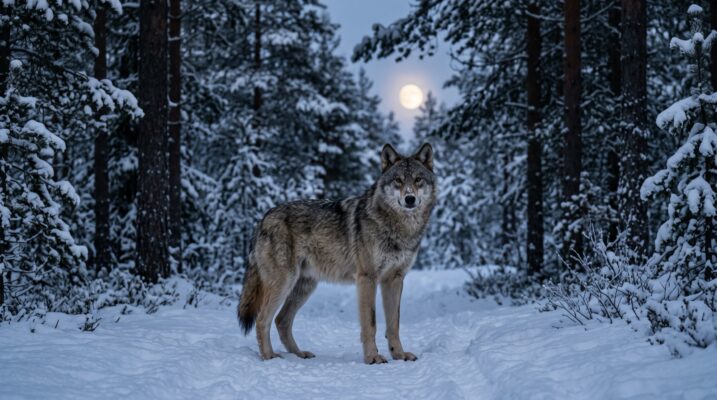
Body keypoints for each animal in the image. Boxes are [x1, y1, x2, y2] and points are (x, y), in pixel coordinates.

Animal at [237, 143, 437, 364]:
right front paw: (372, 357)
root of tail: (264, 217)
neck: (398, 228)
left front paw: (399, 355)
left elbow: (394, 323)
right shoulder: (367, 278)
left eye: (418, 179)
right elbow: (371, 323)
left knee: (282, 320)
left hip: (304, 287)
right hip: (284, 283)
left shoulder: (394, 279)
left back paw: (299, 354)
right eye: (398, 181)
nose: (410, 199)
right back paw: (269, 357)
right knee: (263, 319)